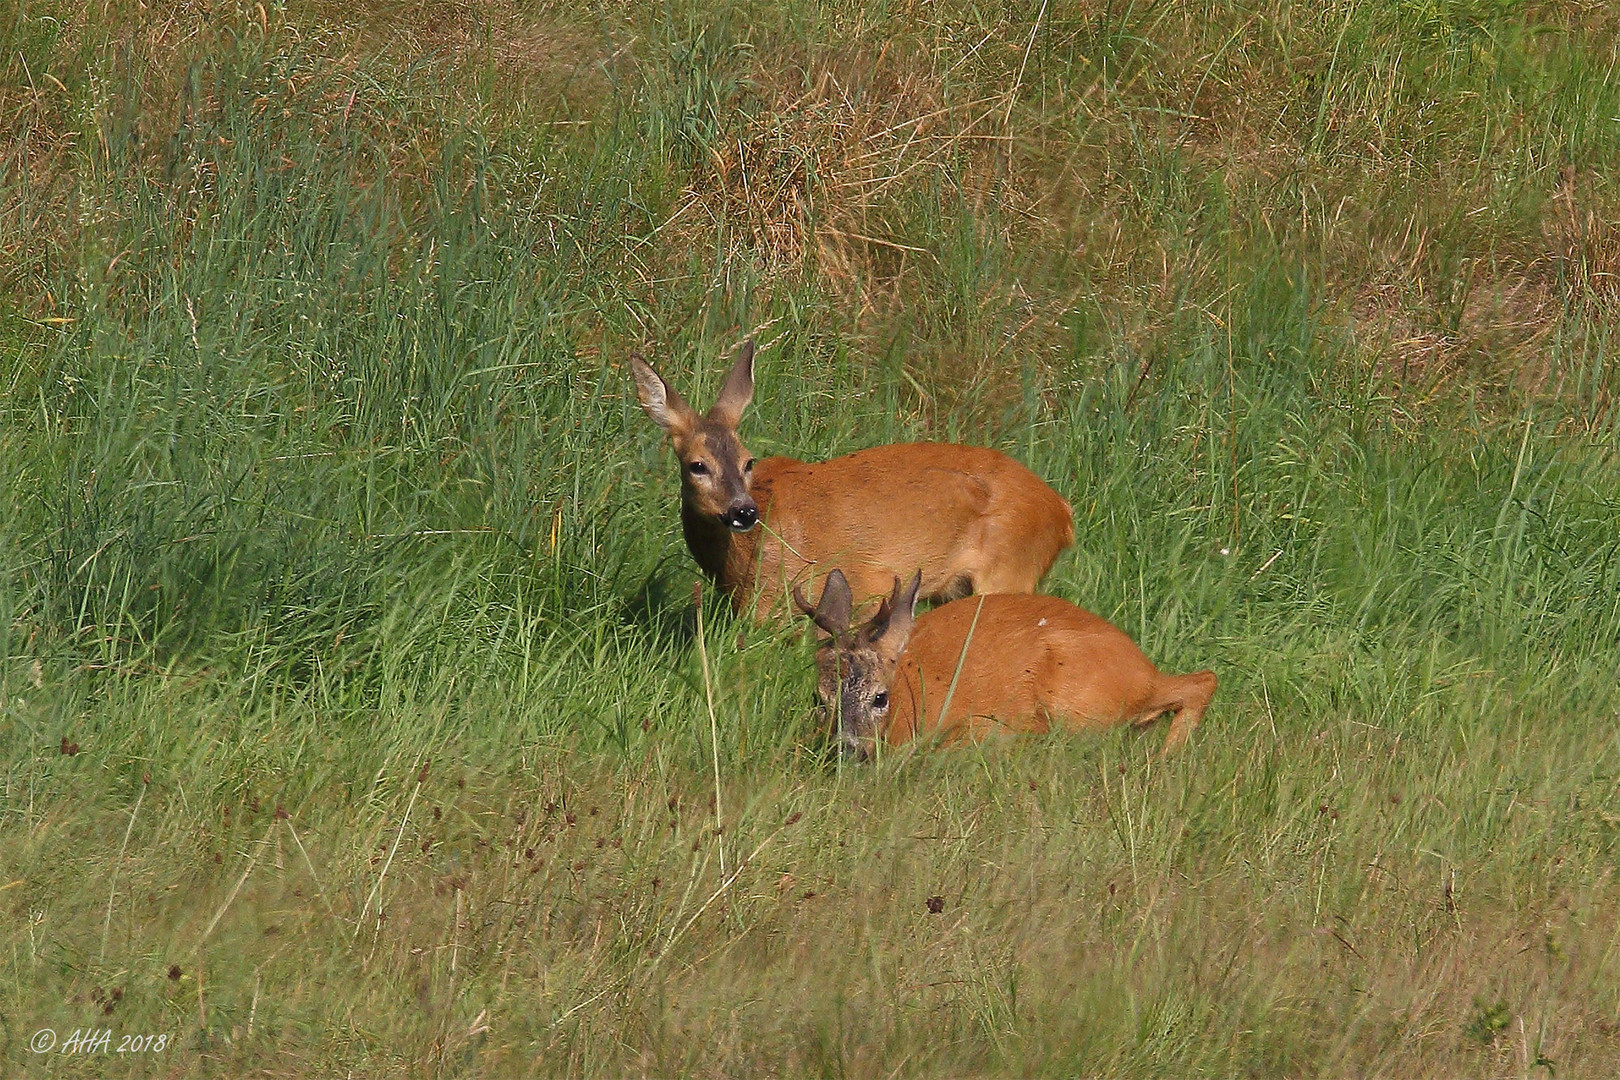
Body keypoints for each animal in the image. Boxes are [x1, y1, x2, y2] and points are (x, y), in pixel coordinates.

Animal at [631, 341, 1075, 621]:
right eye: (697, 465)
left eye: (747, 461)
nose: (743, 511)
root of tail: (1062, 511)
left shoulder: (855, 585)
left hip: (1009, 570)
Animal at [797, 566, 1218, 761]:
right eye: (820, 698)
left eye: (880, 697)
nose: (846, 748)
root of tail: (1143, 665)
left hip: (1084, 698)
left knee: (1203, 679)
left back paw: (1166, 757)